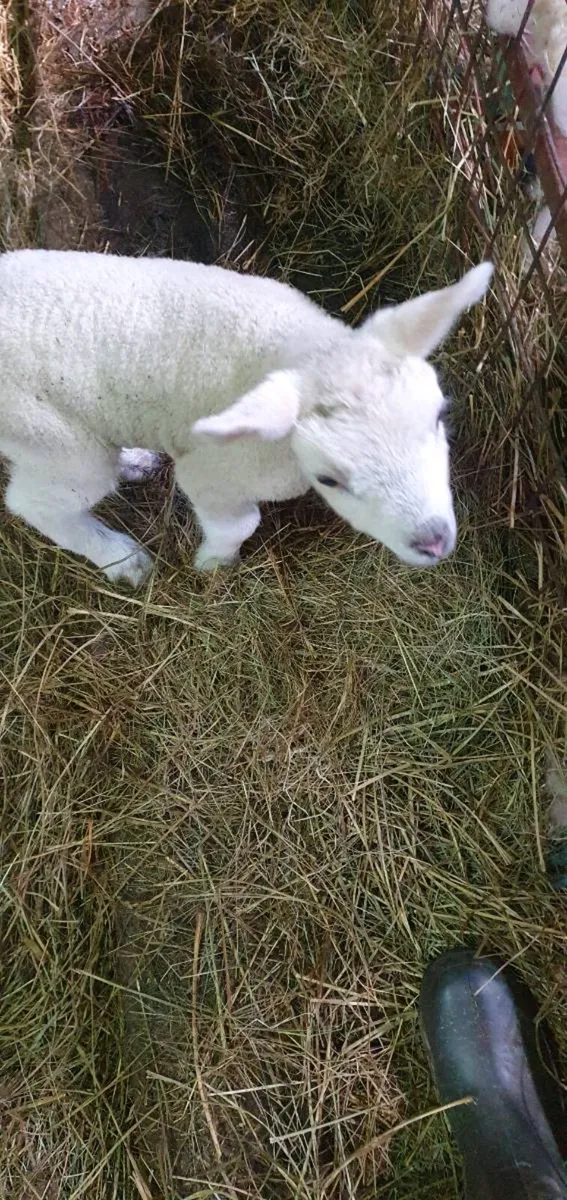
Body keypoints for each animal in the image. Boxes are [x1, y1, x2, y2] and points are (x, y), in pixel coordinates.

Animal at [0, 250, 493, 585]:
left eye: (438, 417)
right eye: (329, 480)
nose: (433, 541)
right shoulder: (212, 470)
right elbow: (239, 523)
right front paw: (214, 563)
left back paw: (136, 462)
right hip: (50, 435)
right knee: (36, 502)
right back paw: (123, 559)